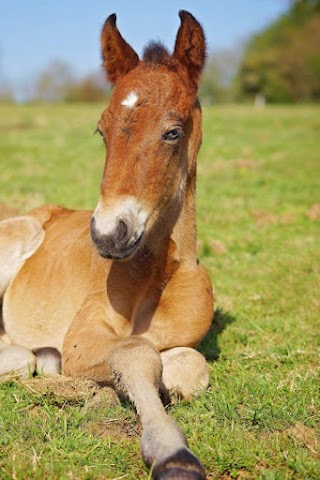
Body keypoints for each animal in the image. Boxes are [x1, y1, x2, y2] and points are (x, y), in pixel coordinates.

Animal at [1, 11, 215, 480]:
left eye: (173, 132)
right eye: (101, 131)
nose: (107, 233)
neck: (156, 276)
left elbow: (188, 367)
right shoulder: (83, 338)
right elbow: (135, 352)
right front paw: (173, 455)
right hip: (21, 231)